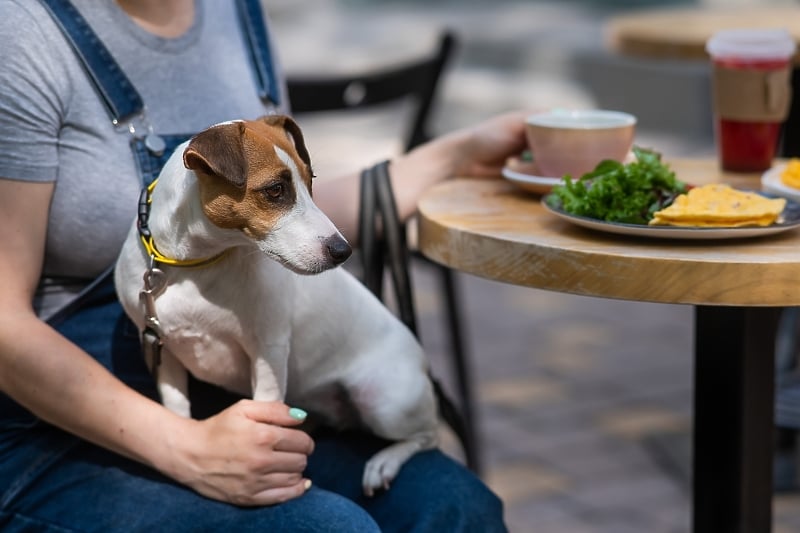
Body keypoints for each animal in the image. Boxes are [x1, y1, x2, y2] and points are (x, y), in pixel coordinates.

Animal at [114, 115, 438, 494]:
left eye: (310, 181)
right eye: (275, 190)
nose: (343, 251)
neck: (194, 267)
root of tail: (423, 363)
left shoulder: (267, 351)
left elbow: (267, 410)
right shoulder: (162, 351)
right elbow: (177, 407)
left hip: (385, 403)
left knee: (427, 436)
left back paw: (383, 463)